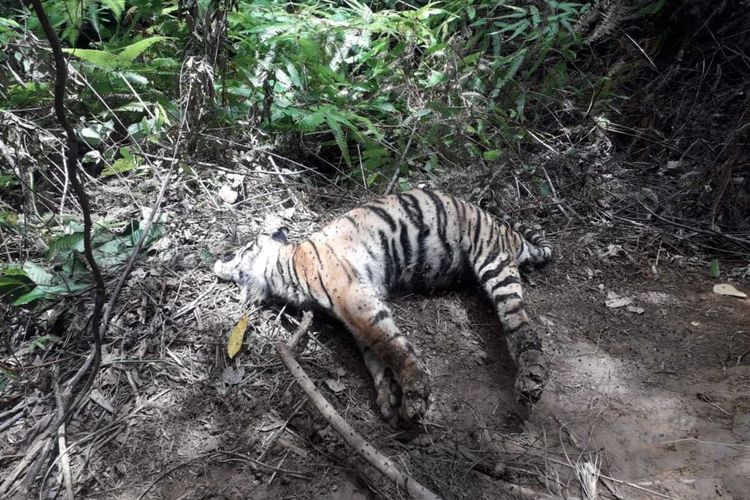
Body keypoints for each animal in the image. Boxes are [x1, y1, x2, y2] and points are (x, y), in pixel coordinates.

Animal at [213, 188, 552, 426]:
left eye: (241, 250)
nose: (217, 262)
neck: (286, 269)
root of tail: (509, 232)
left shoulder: (354, 299)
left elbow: (390, 344)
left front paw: (414, 392)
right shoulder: (355, 311)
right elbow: (374, 353)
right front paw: (389, 395)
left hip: (493, 263)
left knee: (522, 327)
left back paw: (531, 379)